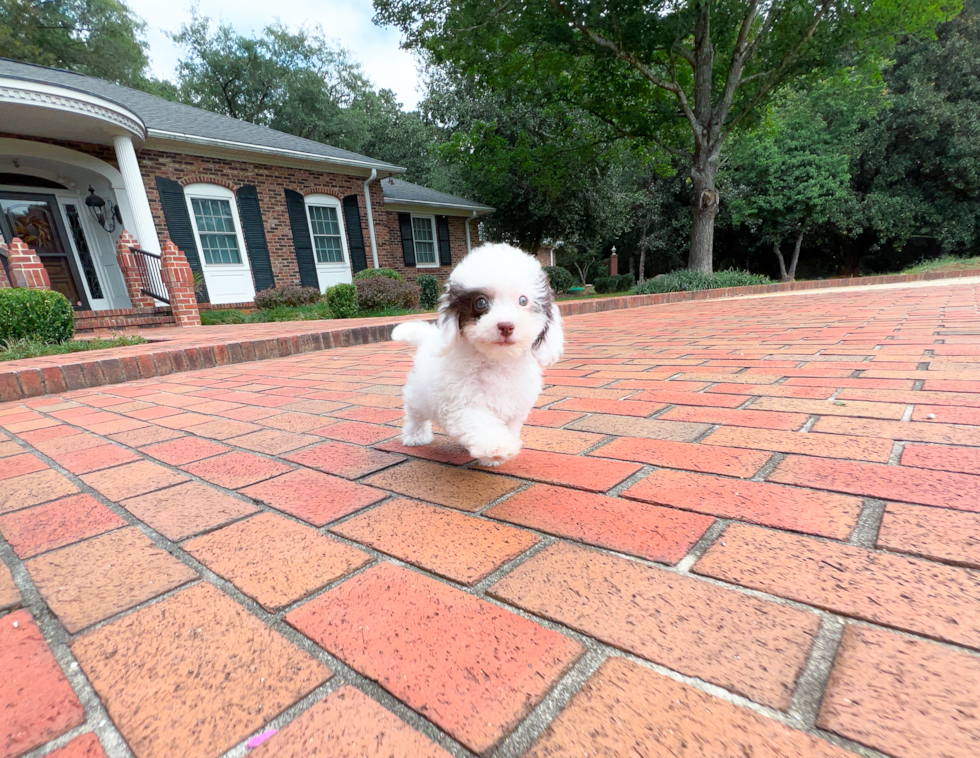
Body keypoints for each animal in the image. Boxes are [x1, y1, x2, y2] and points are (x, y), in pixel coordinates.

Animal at [388, 246, 564, 466]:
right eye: (481, 302)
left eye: (523, 300)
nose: (506, 325)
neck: (496, 361)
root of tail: (429, 339)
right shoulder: (462, 403)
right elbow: (481, 424)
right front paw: (496, 447)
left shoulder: (515, 407)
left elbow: (508, 427)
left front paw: (493, 457)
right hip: (418, 396)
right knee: (415, 416)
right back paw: (415, 436)